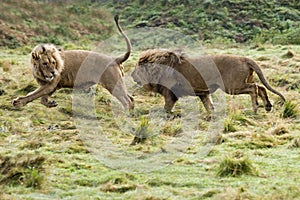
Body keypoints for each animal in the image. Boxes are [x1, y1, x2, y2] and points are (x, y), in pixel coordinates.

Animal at [131, 48, 286, 112]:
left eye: (137, 68)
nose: (132, 75)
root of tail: (245, 58)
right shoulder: (203, 92)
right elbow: (209, 106)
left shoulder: (171, 92)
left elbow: (166, 107)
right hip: (242, 81)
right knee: (261, 87)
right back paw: (267, 106)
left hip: (231, 86)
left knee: (254, 88)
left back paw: (255, 107)